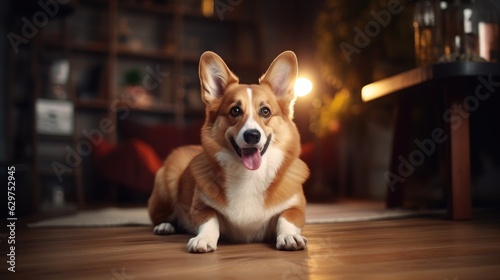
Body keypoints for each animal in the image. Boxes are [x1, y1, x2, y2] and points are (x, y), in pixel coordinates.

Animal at [147, 50, 308, 254]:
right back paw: (165, 226)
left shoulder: (296, 207)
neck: (249, 176)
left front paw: (289, 236)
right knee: (161, 217)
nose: (252, 135)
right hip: (165, 185)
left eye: (265, 111)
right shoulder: (200, 207)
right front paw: (203, 239)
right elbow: (211, 221)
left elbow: (285, 218)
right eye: (235, 110)